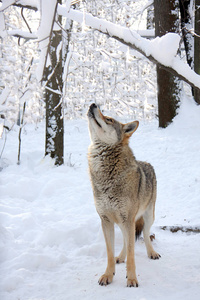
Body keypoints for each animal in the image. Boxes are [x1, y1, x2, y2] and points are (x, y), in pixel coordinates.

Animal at [86, 103, 160, 288]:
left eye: (109, 119)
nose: (93, 104)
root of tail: (147, 163)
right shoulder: (105, 220)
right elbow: (110, 252)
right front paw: (108, 275)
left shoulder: (128, 219)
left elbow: (133, 255)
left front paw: (132, 279)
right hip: (122, 222)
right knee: (128, 240)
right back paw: (120, 257)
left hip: (147, 216)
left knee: (145, 234)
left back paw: (152, 253)